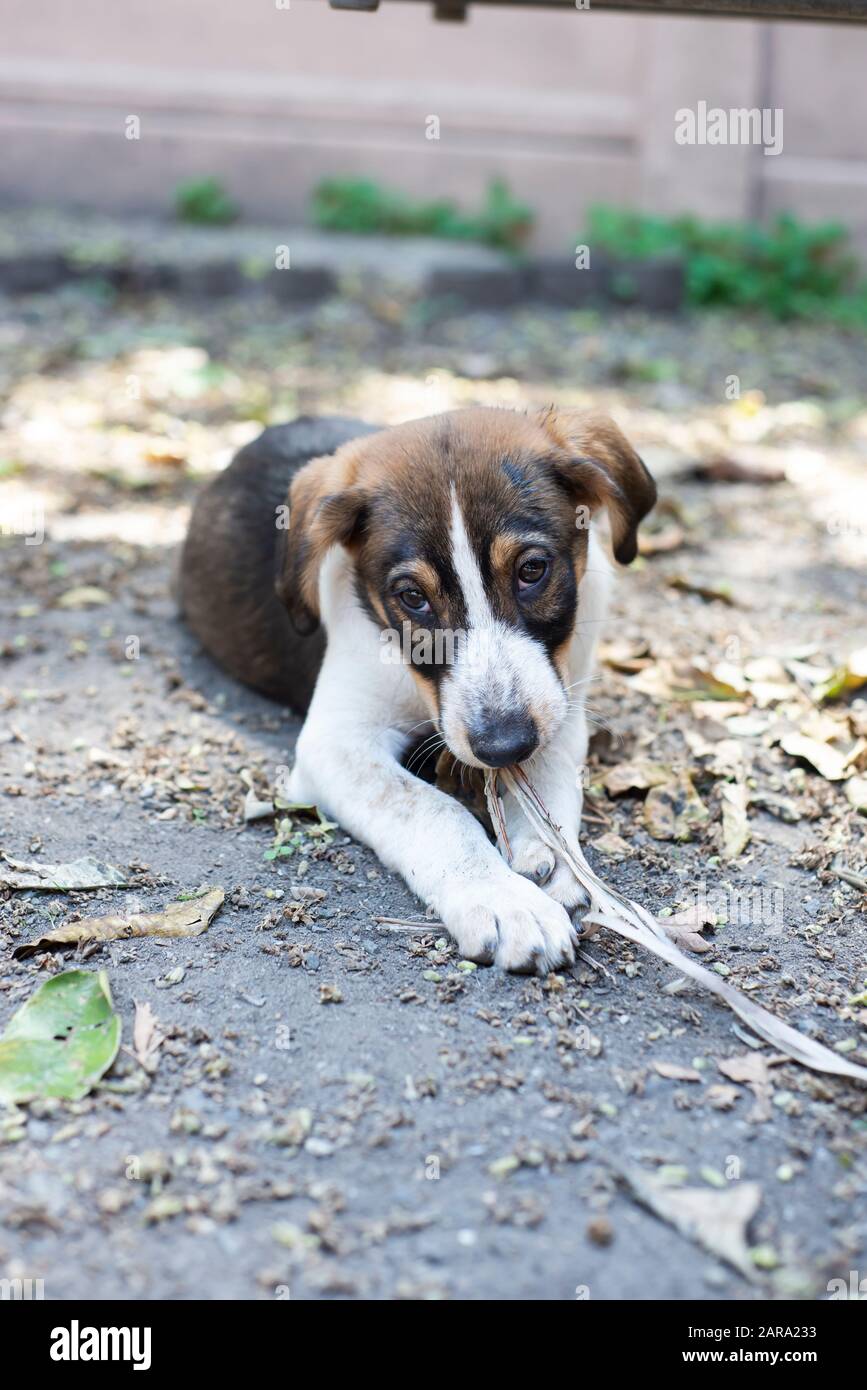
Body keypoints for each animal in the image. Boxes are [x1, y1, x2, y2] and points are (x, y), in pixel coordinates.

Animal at [184, 408, 655, 978]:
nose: (503, 745)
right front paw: (503, 900)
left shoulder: (561, 703)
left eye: (532, 570)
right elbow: (432, 811)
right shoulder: (334, 745)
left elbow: (550, 782)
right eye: (412, 597)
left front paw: (559, 861)